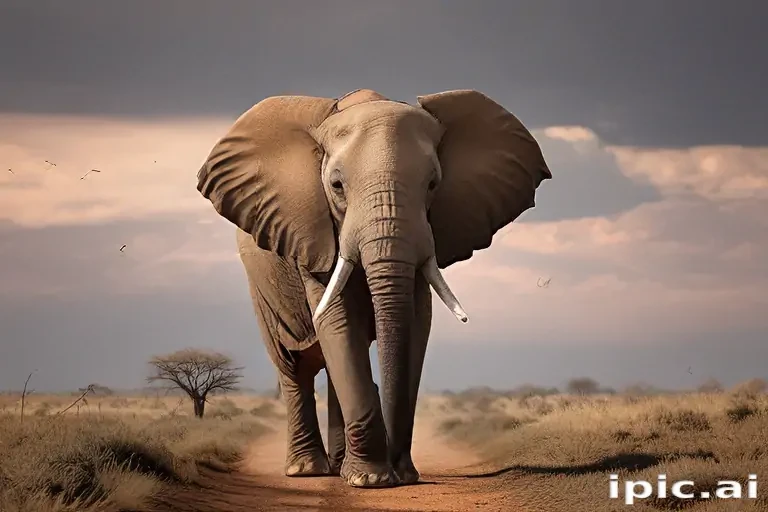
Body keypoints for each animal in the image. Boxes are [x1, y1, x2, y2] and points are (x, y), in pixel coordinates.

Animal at [196, 88, 552, 488]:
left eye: (433, 184)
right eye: (336, 186)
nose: (399, 467)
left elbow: (416, 321)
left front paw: (396, 475)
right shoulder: (313, 236)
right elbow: (338, 321)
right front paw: (372, 480)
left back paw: (338, 467)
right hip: (261, 287)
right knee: (293, 366)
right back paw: (308, 471)